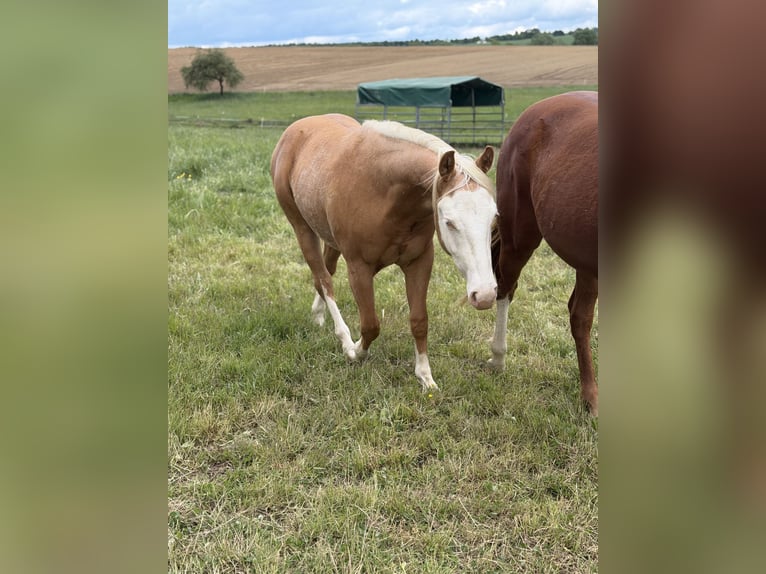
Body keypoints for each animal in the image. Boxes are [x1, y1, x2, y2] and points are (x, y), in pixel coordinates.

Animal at [271, 113, 497, 391]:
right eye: (449, 222)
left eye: (494, 218)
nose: (485, 295)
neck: (385, 190)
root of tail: (296, 129)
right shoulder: (358, 268)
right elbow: (370, 325)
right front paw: (355, 352)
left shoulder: (419, 262)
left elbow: (419, 321)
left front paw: (425, 377)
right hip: (302, 229)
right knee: (323, 279)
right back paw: (343, 337)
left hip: (328, 237)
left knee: (325, 274)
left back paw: (318, 315)